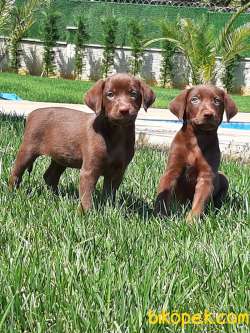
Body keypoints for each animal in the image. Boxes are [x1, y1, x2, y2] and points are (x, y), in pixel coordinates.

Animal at [9, 74, 154, 211]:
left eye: (133, 93)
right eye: (110, 94)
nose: (124, 110)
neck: (117, 132)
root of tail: (30, 115)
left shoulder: (118, 171)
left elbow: (109, 194)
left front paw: (109, 209)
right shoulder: (90, 170)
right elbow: (86, 197)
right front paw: (85, 215)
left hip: (62, 157)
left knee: (50, 176)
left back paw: (56, 196)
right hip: (28, 149)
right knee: (16, 172)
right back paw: (12, 192)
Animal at [154, 84, 238, 222]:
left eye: (217, 100)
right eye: (194, 99)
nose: (208, 114)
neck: (198, 137)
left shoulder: (206, 176)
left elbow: (199, 202)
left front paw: (191, 222)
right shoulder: (171, 170)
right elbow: (163, 195)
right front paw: (160, 216)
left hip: (223, 178)